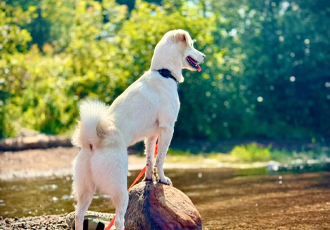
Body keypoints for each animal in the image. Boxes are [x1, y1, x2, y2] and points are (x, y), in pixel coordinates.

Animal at [71, 29, 204, 230]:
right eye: (192, 45)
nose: (204, 56)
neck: (163, 73)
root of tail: (93, 141)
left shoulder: (151, 135)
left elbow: (149, 160)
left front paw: (148, 179)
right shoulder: (167, 128)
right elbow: (160, 159)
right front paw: (162, 179)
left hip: (86, 190)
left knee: (79, 216)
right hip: (119, 188)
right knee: (119, 219)